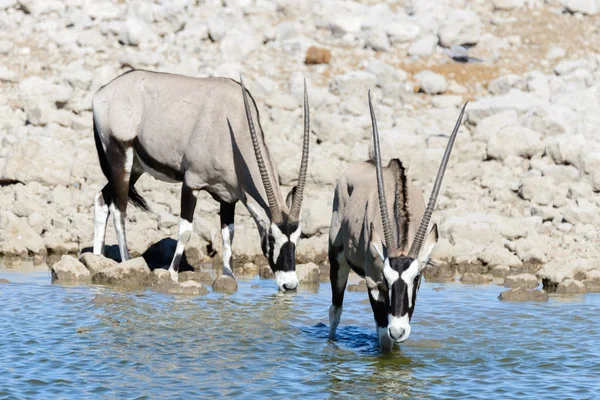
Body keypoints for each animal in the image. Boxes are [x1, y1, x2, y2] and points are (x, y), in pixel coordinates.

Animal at [92, 71, 314, 290]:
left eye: (298, 238)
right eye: (272, 238)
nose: (290, 284)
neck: (234, 125)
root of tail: (102, 92)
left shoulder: (229, 196)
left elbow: (228, 234)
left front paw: (229, 275)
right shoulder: (191, 183)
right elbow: (185, 230)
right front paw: (172, 274)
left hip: (136, 168)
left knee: (102, 198)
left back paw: (97, 258)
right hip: (120, 156)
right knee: (119, 209)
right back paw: (126, 260)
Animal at [328, 94, 468, 350]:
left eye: (417, 277)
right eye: (386, 277)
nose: (399, 330)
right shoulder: (374, 284)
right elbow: (384, 337)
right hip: (337, 256)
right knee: (336, 309)